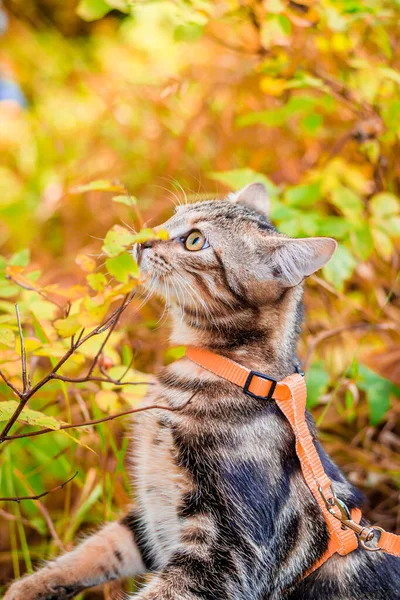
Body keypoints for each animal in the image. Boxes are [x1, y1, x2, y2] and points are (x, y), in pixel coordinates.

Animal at [5, 184, 400, 600]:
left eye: (195, 241)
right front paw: (28, 587)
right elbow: (96, 550)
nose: (142, 239)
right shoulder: (150, 518)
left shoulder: (226, 552)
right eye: (171, 217)